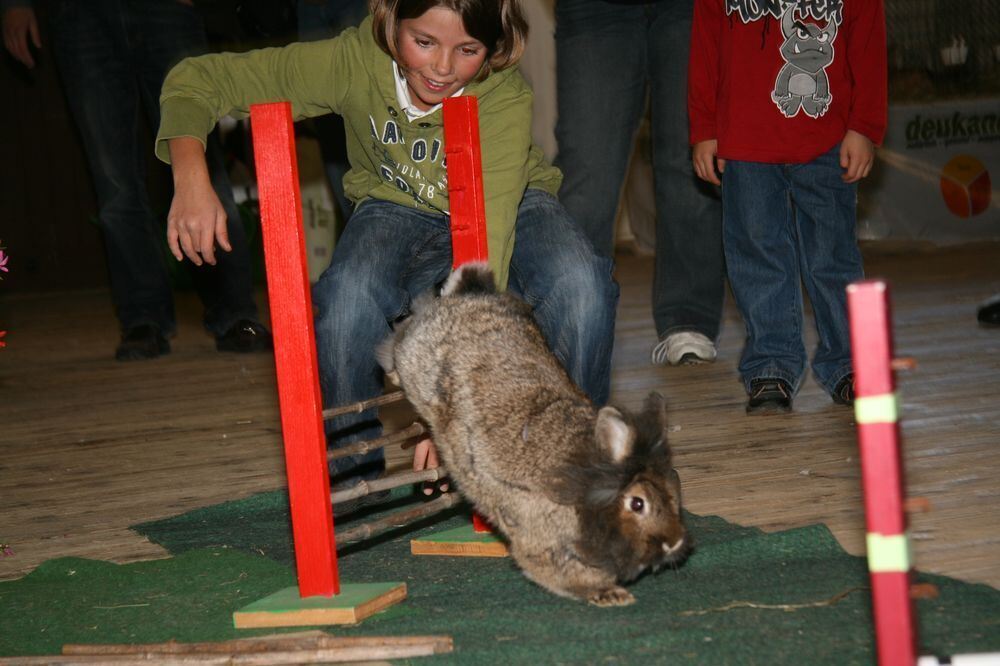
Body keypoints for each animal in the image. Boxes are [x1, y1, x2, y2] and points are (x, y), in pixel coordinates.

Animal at [376, 262, 688, 604]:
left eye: (674, 492)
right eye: (638, 504)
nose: (675, 542)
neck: (587, 484)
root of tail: (467, 293)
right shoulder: (542, 539)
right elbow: (559, 573)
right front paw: (609, 595)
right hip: (414, 358)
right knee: (395, 344)